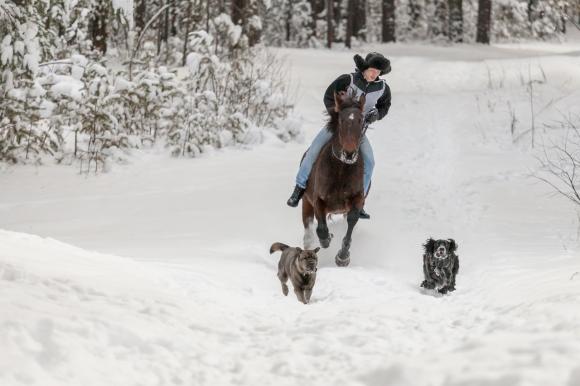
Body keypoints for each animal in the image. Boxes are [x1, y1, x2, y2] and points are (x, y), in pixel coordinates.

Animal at [302, 92, 364, 266]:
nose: (349, 153)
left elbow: (352, 221)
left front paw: (343, 257)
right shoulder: (318, 200)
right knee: (308, 231)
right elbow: (321, 230)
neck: (341, 170)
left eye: (361, 120)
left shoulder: (357, 198)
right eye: (341, 120)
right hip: (305, 202)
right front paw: (327, 238)